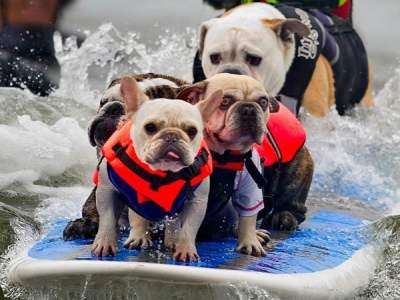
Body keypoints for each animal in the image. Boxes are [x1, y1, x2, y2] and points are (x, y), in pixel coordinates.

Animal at [91, 77, 222, 260]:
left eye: (192, 131)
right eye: (150, 127)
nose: (171, 136)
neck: (161, 173)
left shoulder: (197, 201)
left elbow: (188, 227)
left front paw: (185, 249)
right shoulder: (107, 190)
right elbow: (108, 218)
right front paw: (105, 243)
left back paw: (172, 240)